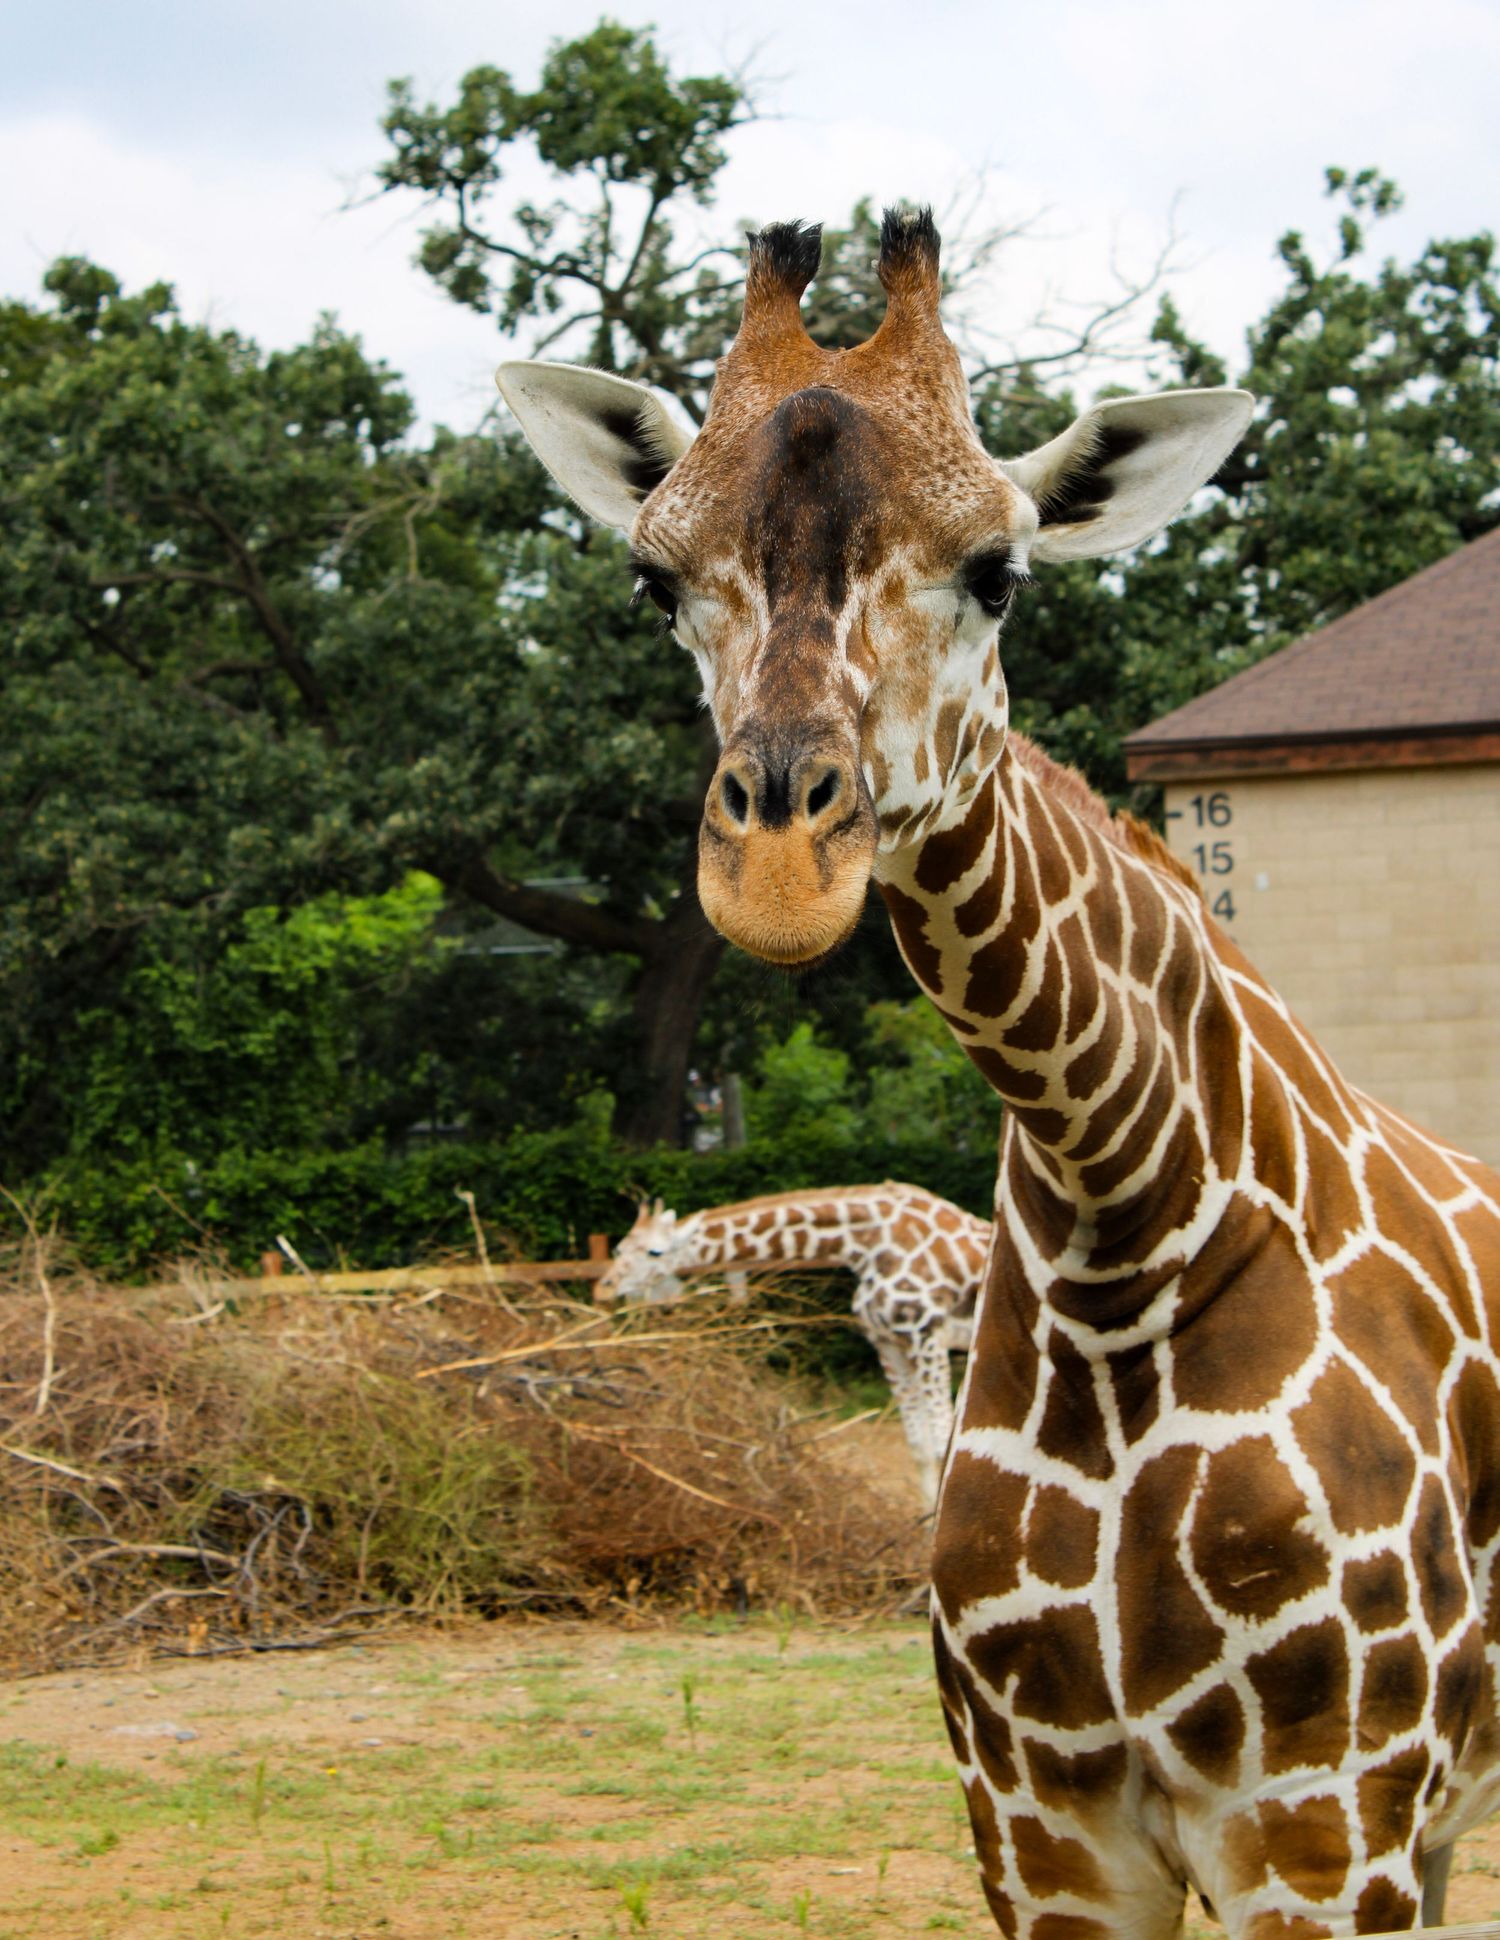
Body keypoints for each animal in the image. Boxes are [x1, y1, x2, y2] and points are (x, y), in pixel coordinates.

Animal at [597, 1183, 992, 1508]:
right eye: (618, 1248)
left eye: (654, 1252)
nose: (603, 1289)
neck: (866, 1244)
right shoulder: (889, 1343)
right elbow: (918, 1446)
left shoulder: (927, 1335)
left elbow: (942, 1444)